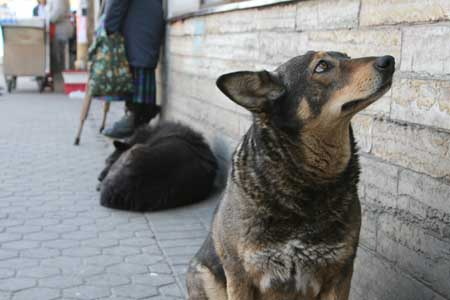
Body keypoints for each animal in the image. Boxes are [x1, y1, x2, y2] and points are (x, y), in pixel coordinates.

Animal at [185, 50, 394, 298]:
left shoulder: (340, 274)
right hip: (204, 275)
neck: (308, 183)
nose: (389, 60)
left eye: (347, 56)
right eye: (322, 66)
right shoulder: (239, 276)